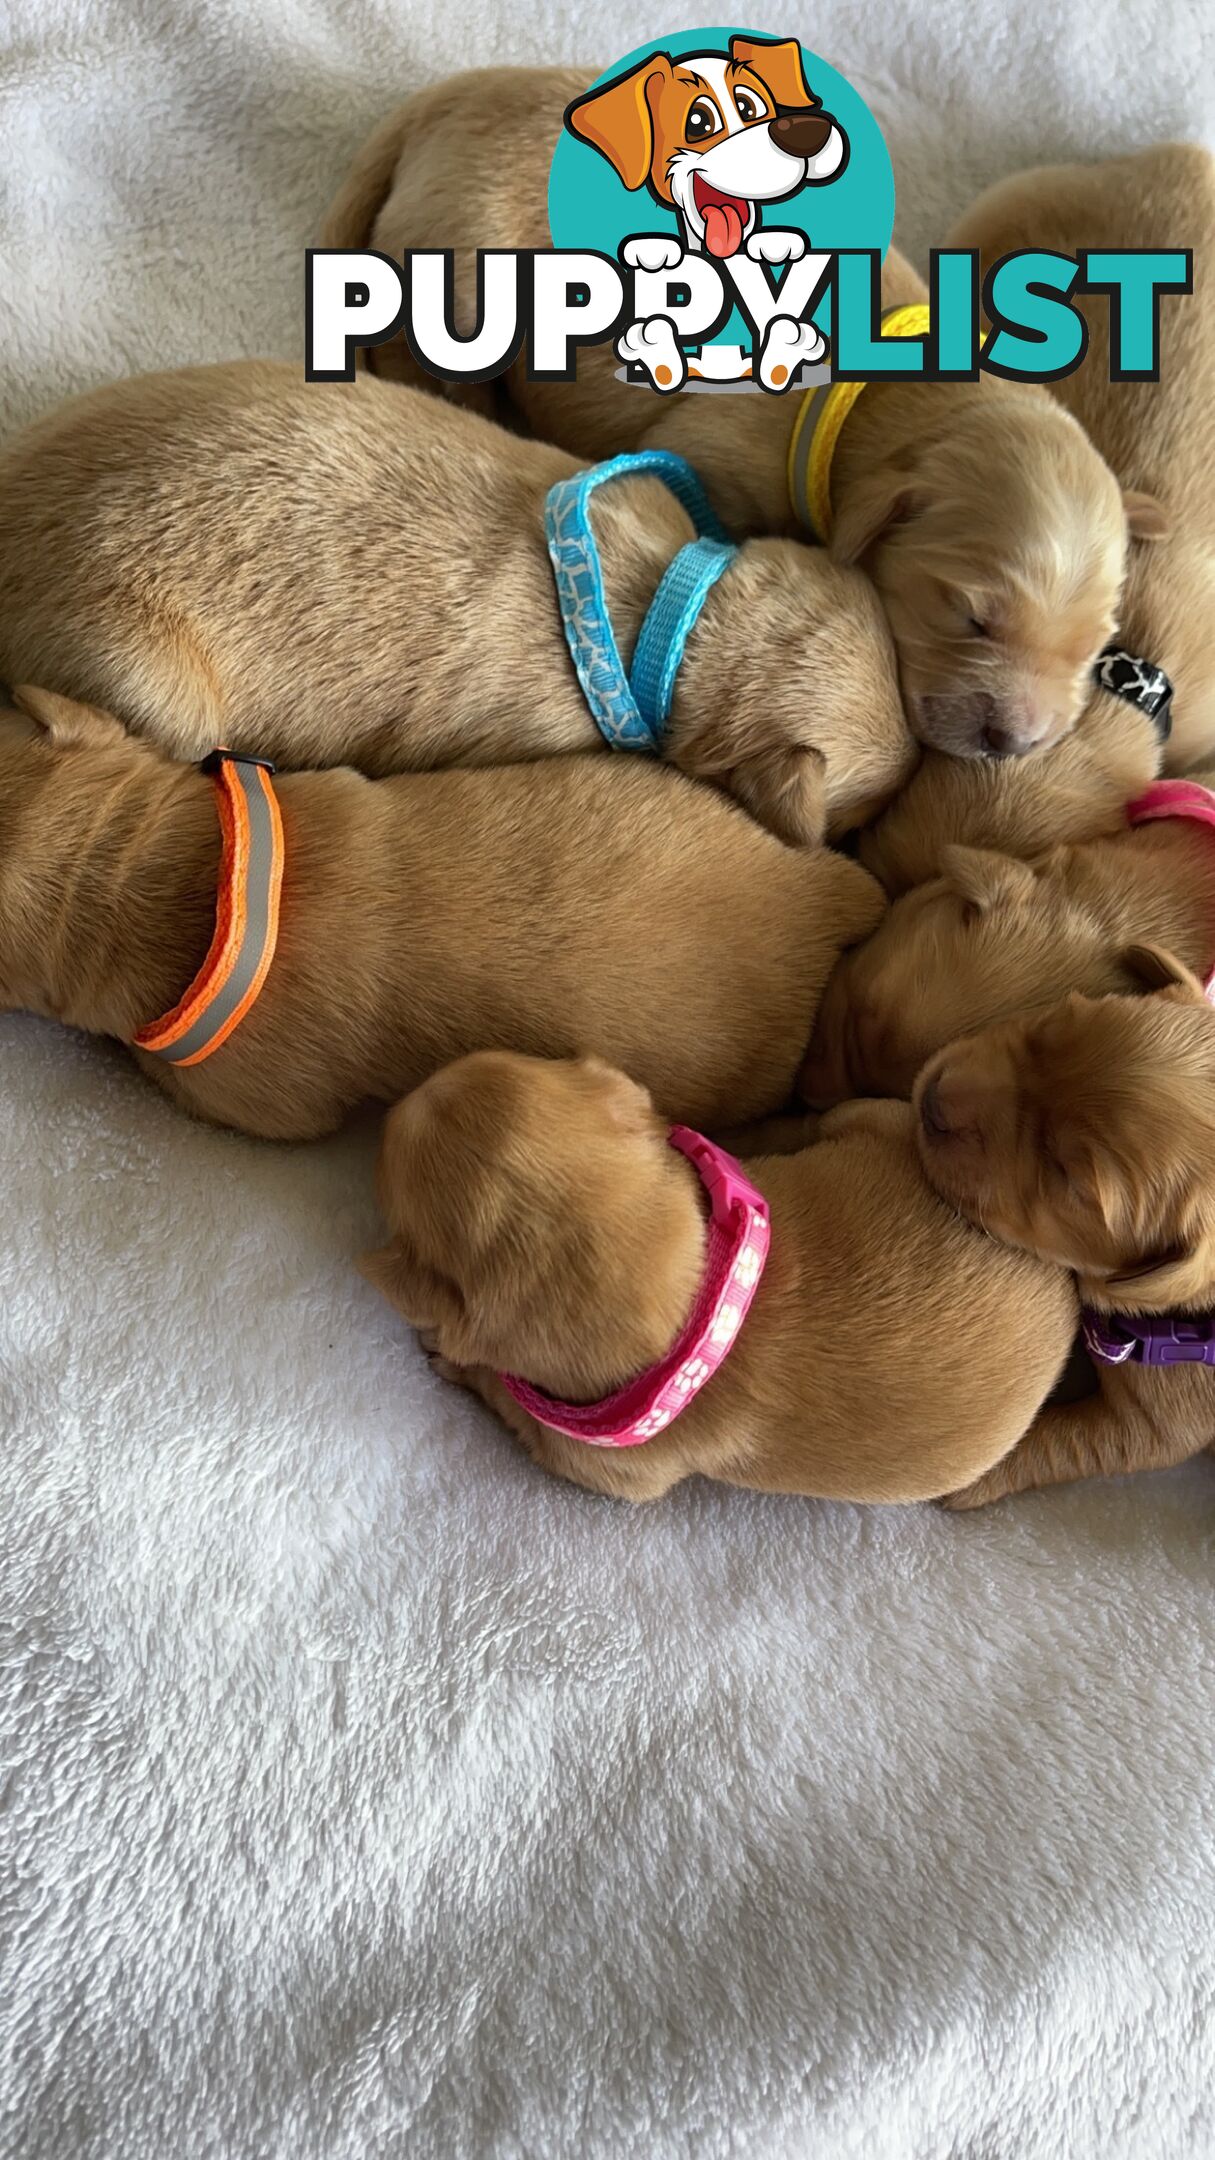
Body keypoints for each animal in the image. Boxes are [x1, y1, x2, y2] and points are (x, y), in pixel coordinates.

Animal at [317, 69, 1141, 760]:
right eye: (968, 616)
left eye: (1093, 651)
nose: (1014, 745)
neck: (876, 395)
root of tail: (435, 109)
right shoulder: (714, 460)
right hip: (459, 286)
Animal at [358, 1049, 1067, 1503]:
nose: (395, 1097)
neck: (703, 1313)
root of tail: (1062, 1283)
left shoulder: (605, 1470)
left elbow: (511, 1405)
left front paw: (455, 1363)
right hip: (881, 1124)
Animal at [908, 976, 1210, 1503]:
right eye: (1051, 1027)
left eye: (1064, 1174)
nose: (933, 1100)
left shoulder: (1162, 1419)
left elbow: (1063, 1442)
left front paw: (969, 1474)